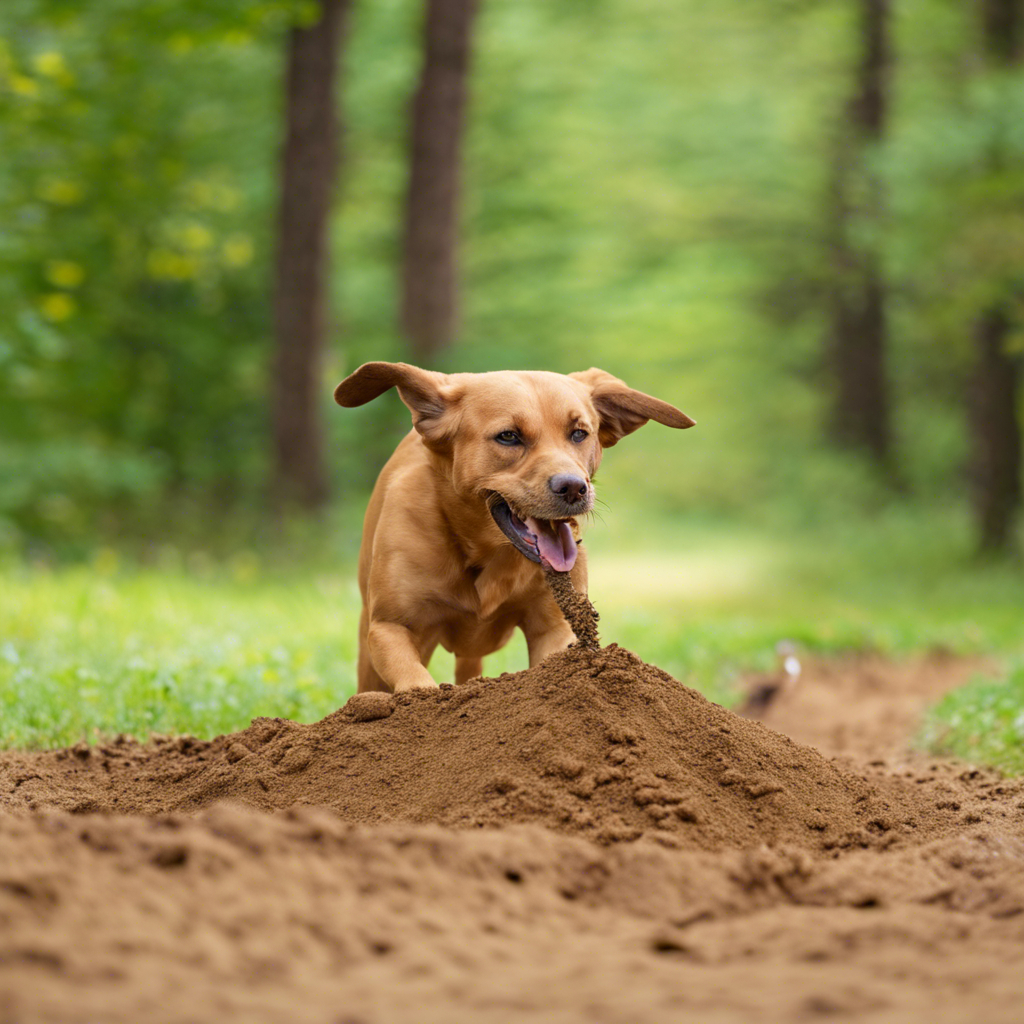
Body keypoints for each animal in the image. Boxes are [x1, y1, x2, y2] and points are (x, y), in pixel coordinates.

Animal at [331, 364, 692, 692]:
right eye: (508, 436)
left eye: (579, 433)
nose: (574, 488)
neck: (485, 552)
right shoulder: (390, 627)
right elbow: (416, 682)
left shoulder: (552, 627)